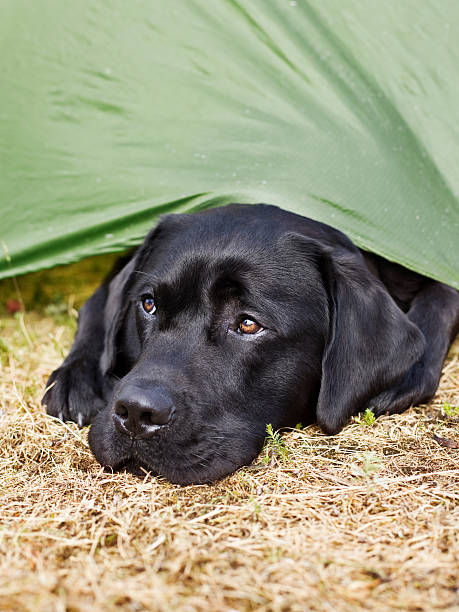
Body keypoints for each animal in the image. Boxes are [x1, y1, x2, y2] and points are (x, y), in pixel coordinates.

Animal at [43, 204, 459, 482]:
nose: (135, 412)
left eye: (247, 324)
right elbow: (97, 303)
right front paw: (76, 377)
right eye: (148, 304)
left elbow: (443, 295)